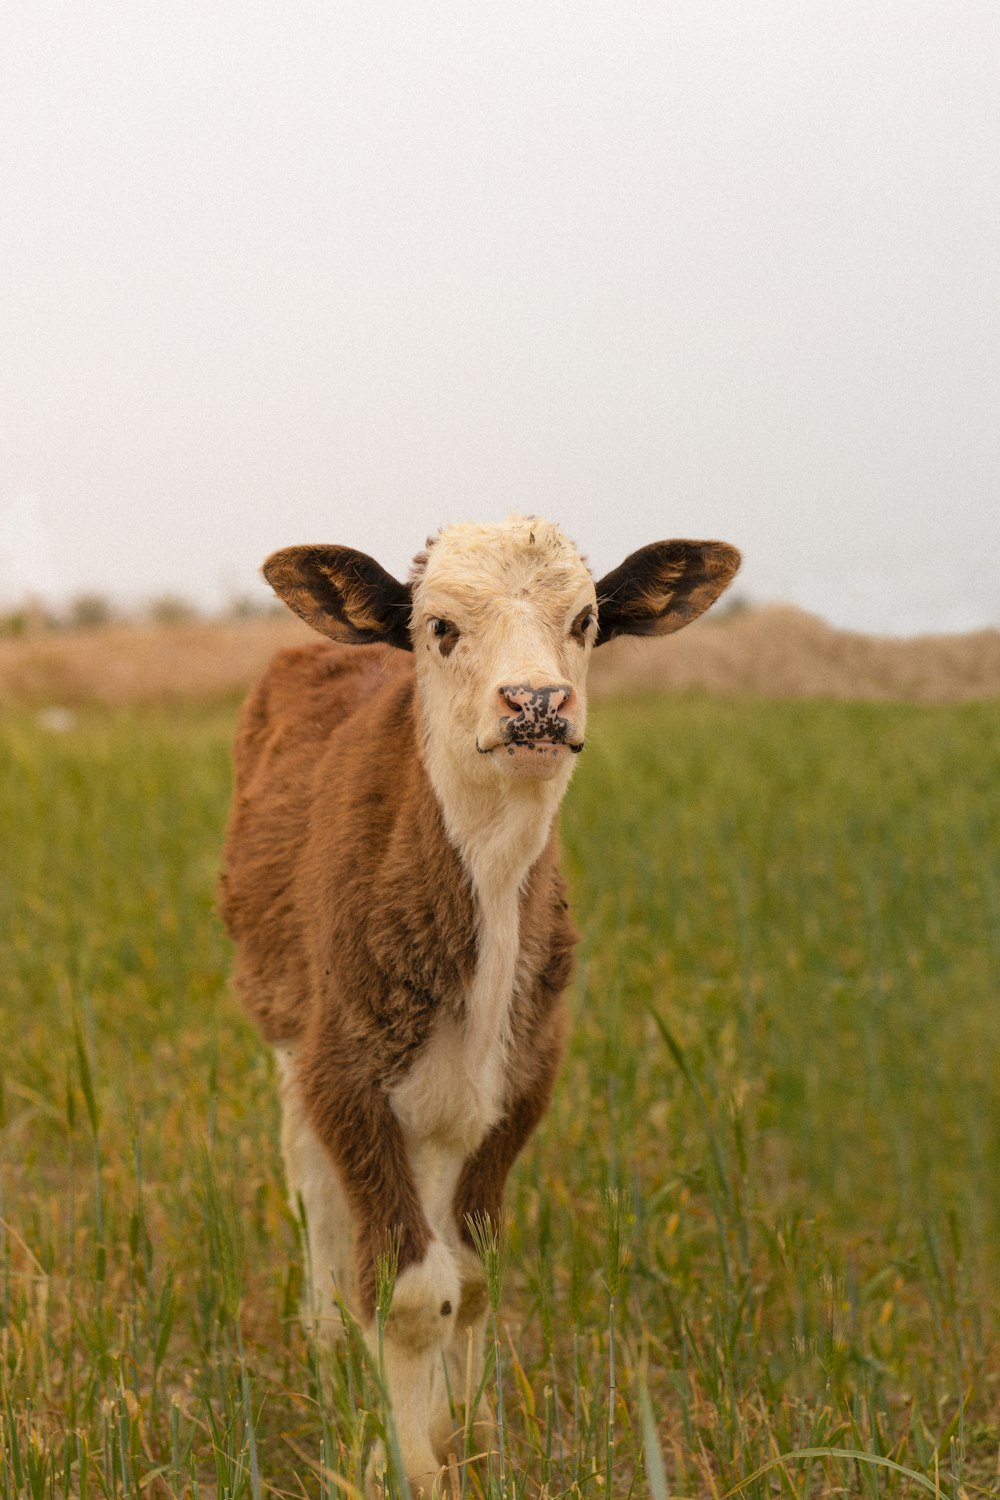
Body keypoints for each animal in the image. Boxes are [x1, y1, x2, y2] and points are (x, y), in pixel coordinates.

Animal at [223, 513, 740, 1488]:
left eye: (584, 621)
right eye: (442, 628)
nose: (536, 701)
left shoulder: (525, 1076)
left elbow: (466, 1278)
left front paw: (468, 1437)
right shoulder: (343, 1070)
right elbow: (408, 1291)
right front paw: (406, 1465)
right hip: (287, 1026)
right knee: (311, 1179)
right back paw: (324, 1337)